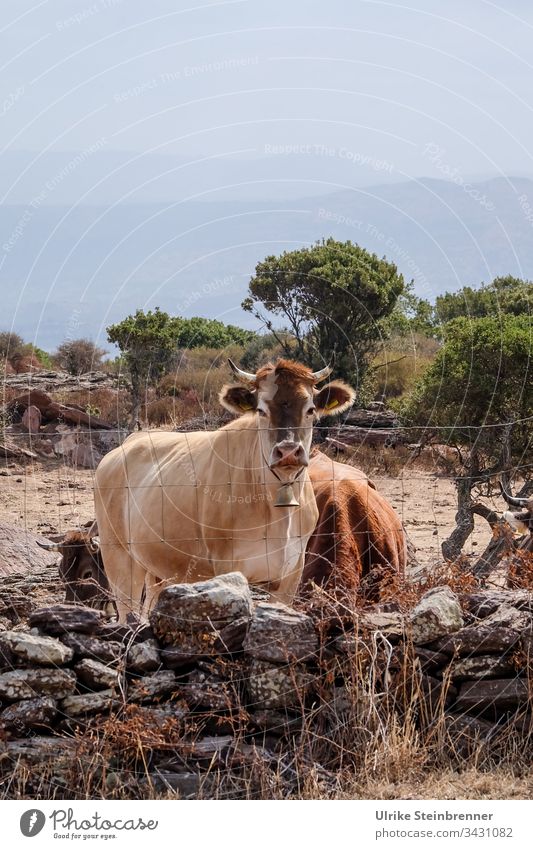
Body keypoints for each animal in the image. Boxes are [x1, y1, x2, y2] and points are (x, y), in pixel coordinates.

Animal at [93, 354, 356, 620]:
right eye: (261, 410)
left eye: (310, 409)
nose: (288, 451)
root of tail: (122, 448)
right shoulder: (227, 567)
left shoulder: (290, 577)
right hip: (118, 558)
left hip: (158, 568)